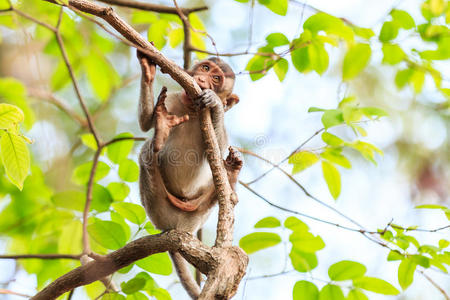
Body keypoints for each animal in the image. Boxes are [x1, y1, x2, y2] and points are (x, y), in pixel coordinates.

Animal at [137, 50, 243, 298]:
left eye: (217, 79)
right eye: (205, 68)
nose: (202, 80)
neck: (193, 111)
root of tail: (177, 228)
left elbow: (217, 150)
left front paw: (215, 103)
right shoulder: (173, 99)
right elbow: (145, 123)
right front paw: (148, 69)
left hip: (194, 216)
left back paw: (231, 175)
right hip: (157, 208)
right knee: (146, 149)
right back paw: (160, 132)